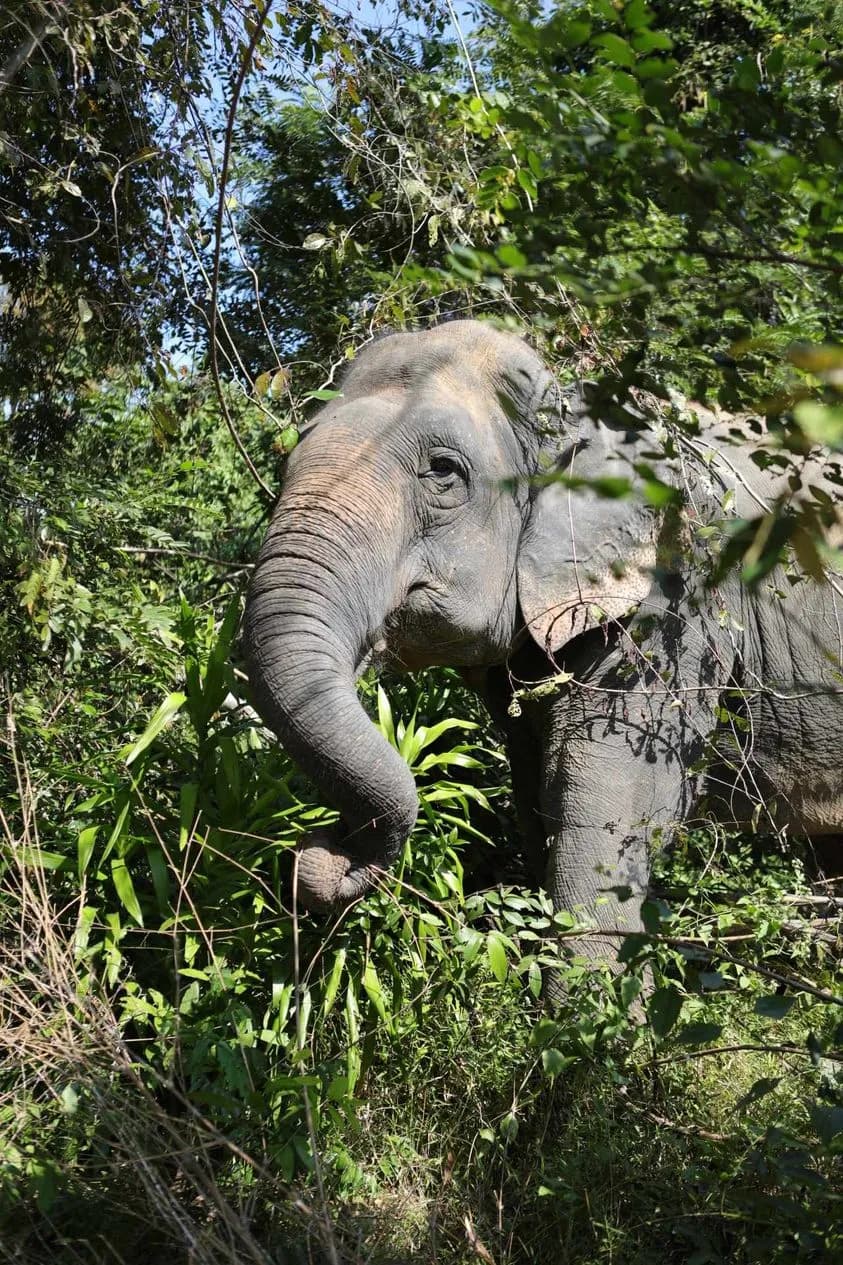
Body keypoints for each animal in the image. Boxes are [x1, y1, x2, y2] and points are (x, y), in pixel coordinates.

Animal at [243, 319, 843, 958]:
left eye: (444, 471)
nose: (320, 849)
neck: (575, 409)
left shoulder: (678, 596)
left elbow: (608, 798)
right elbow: (540, 790)